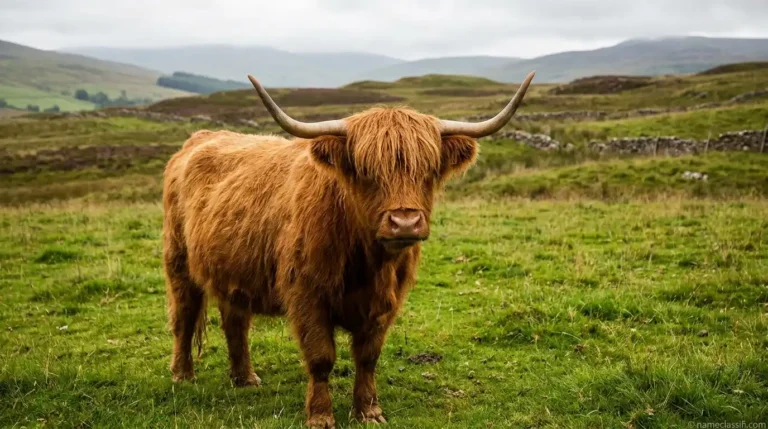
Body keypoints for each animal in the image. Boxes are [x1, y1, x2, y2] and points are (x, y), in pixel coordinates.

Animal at [162, 70, 535, 428]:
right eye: (366, 171)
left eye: (428, 170)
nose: (405, 222)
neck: (367, 262)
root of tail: (198, 139)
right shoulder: (307, 295)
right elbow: (321, 357)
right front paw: (320, 416)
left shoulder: (386, 302)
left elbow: (368, 356)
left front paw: (369, 411)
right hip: (178, 262)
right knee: (184, 317)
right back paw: (182, 375)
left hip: (232, 271)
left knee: (235, 320)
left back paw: (245, 379)